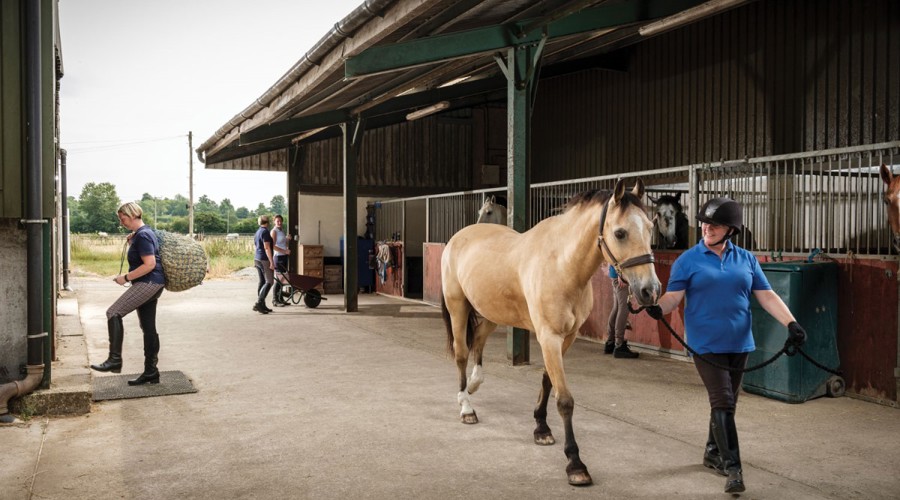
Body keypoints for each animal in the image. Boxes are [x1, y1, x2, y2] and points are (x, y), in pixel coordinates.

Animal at [441, 179, 661, 486]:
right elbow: (564, 399)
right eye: (620, 232)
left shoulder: (565, 337)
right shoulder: (549, 337)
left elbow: (547, 381)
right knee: (461, 353)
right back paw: (466, 406)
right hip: (457, 307)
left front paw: (541, 428)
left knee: (479, 340)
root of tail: (459, 236)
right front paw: (575, 464)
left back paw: (474, 385)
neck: (562, 264)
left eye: (651, 228)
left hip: (493, 311)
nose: (650, 291)